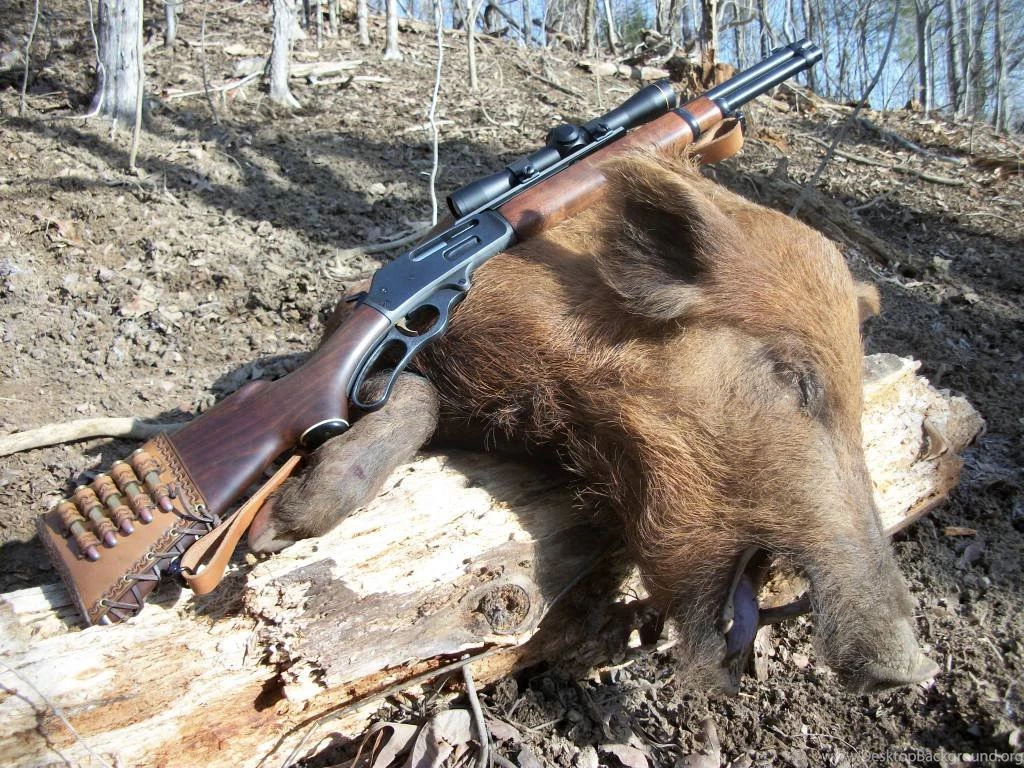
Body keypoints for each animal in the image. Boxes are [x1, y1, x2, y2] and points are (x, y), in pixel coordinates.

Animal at [248, 148, 939, 693]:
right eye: (795, 378)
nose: (912, 670)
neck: (561, 414)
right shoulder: (363, 317)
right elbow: (404, 393)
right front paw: (270, 533)